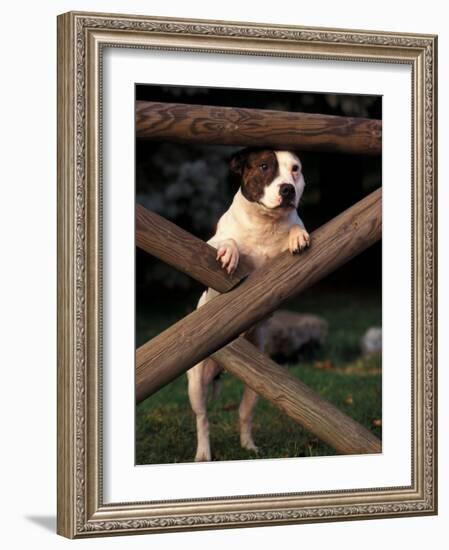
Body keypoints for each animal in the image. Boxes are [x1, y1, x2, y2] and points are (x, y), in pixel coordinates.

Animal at [186, 149, 308, 464]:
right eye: (264, 166)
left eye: (295, 169)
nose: (287, 189)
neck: (265, 224)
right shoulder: (207, 248)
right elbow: (225, 241)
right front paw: (230, 250)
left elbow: (296, 226)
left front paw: (297, 234)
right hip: (196, 383)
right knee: (202, 418)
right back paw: (203, 452)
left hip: (258, 384)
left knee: (244, 414)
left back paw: (248, 446)